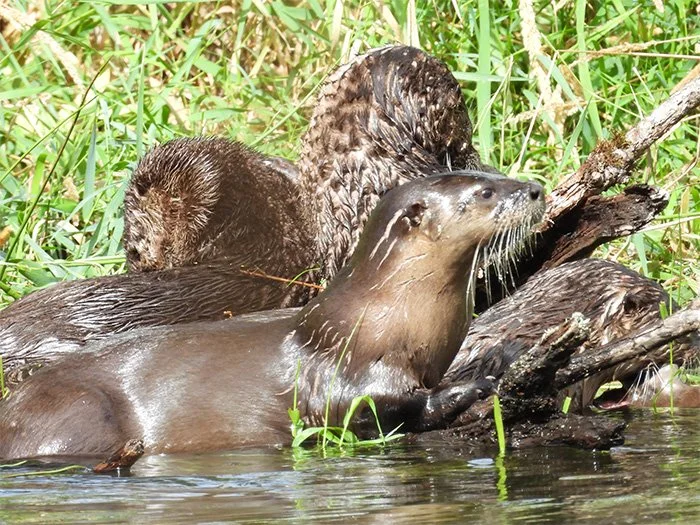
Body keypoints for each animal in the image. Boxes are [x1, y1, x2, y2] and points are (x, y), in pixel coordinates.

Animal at [0, 173, 545, 458]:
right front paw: (474, 384)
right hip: (79, 412)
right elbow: (386, 408)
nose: (536, 189)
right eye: (485, 193)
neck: (385, 316)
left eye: (497, 173)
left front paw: (500, 354)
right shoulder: (344, 377)